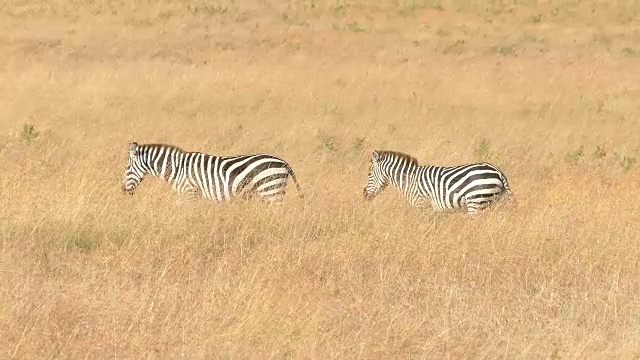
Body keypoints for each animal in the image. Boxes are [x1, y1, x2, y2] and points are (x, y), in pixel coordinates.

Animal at [121, 142, 304, 204]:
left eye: (127, 168)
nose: (123, 190)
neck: (177, 168)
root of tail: (284, 162)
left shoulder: (190, 191)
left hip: (271, 189)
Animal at [362, 150, 512, 214]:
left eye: (369, 174)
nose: (364, 194)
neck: (409, 180)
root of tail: (497, 171)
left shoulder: (422, 204)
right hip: (494, 202)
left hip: (476, 201)